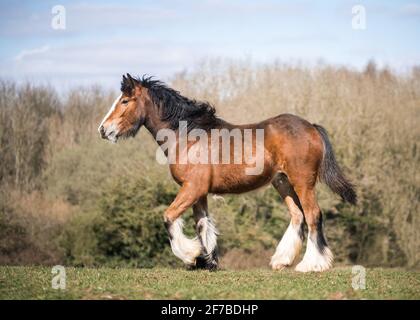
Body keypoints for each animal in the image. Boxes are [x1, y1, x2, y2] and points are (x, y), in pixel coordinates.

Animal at [99, 74, 358, 272]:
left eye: (125, 101)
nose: (103, 130)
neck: (188, 136)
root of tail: (311, 126)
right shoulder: (199, 193)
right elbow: (202, 225)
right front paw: (207, 262)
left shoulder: (192, 188)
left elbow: (169, 217)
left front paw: (191, 256)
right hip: (282, 182)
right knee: (298, 215)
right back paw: (281, 260)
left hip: (303, 182)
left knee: (313, 215)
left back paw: (311, 264)